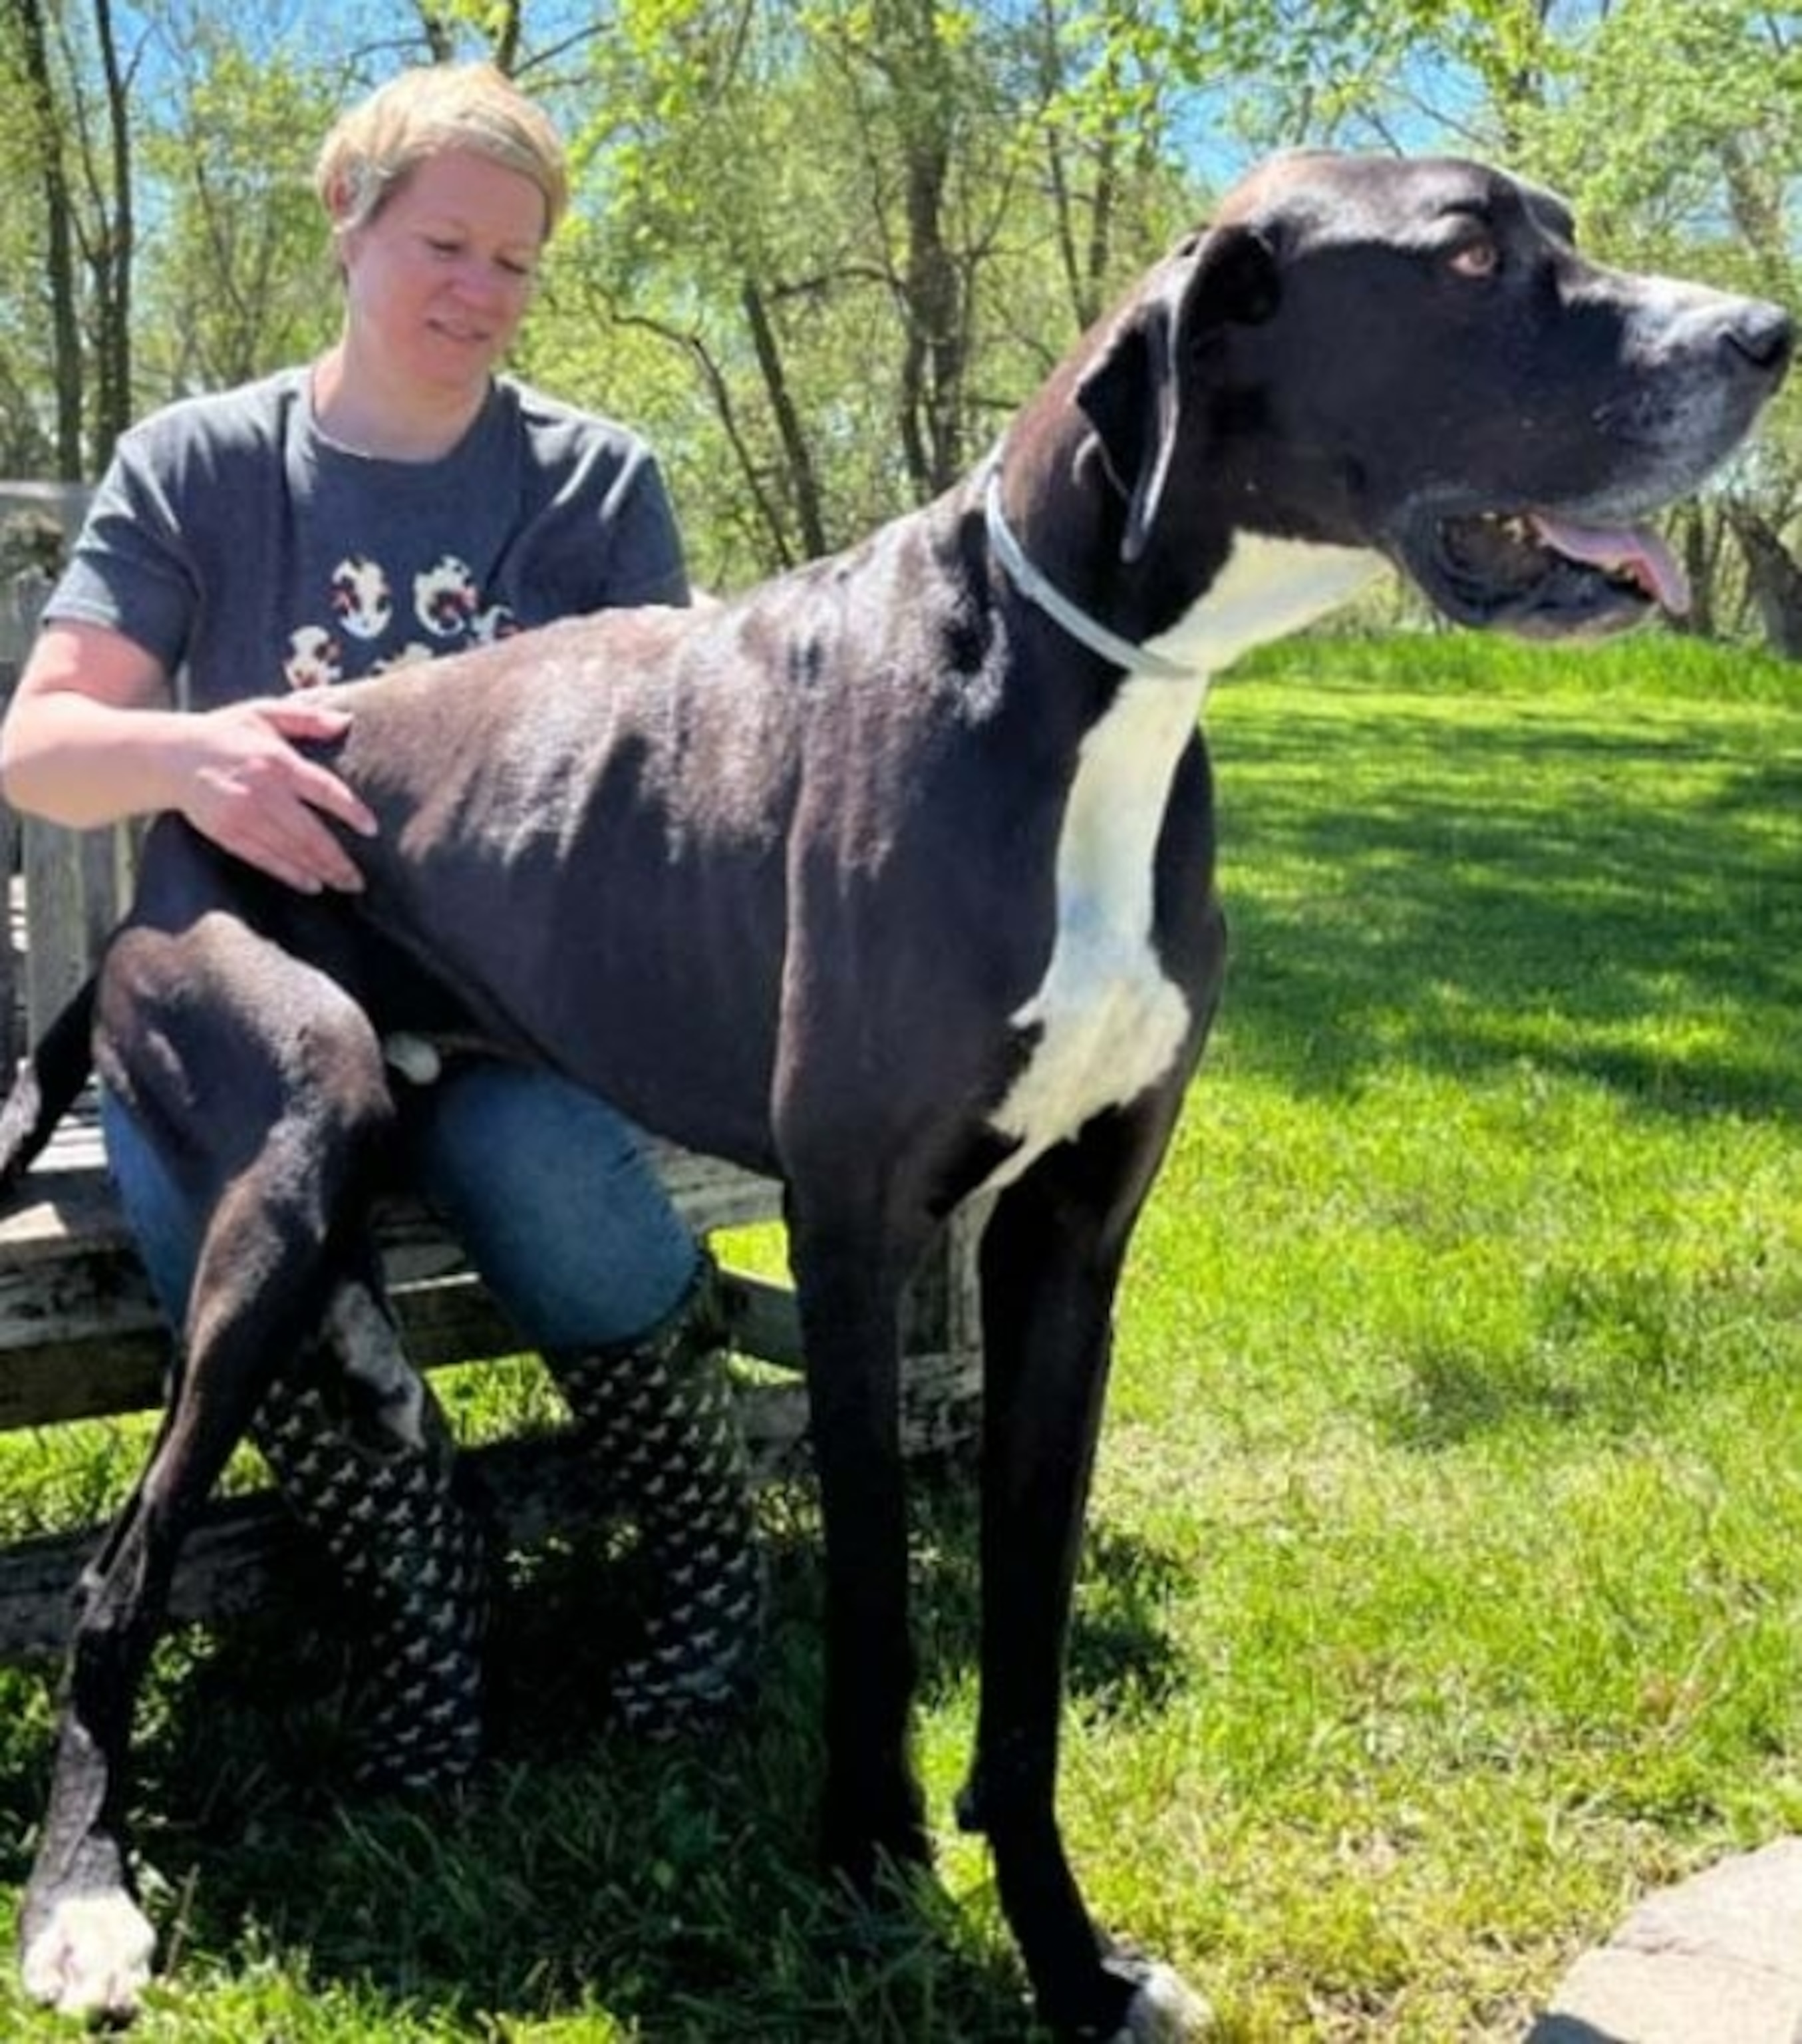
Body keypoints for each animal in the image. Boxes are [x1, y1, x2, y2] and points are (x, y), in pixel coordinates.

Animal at [3, 151, 1781, 2035]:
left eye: (1559, 226)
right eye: (1461, 253)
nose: (1765, 336)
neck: (1089, 684)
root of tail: (154, 857)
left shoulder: (1068, 1243)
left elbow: (1028, 1632)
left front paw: (1069, 1945)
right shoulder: (855, 1228)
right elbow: (872, 1600)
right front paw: (873, 1861)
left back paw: (366, 1376)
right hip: (294, 1098)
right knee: (127, 1561)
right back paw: (83, 1896)